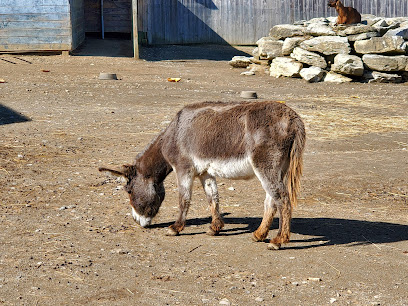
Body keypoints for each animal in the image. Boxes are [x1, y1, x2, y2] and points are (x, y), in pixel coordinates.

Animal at [99, 101, 304, 250]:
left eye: (129, 191)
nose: (137, 221)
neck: (173, 134)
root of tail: (294, 118)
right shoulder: (205, 172)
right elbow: (212, 198)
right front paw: (215, 228)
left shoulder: (184, 168)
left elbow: (184, 199)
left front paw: (175, 228)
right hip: (278, 168)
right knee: (271, 201)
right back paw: (259, 235)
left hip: (266, 165)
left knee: (283, 200)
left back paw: (278, 241)